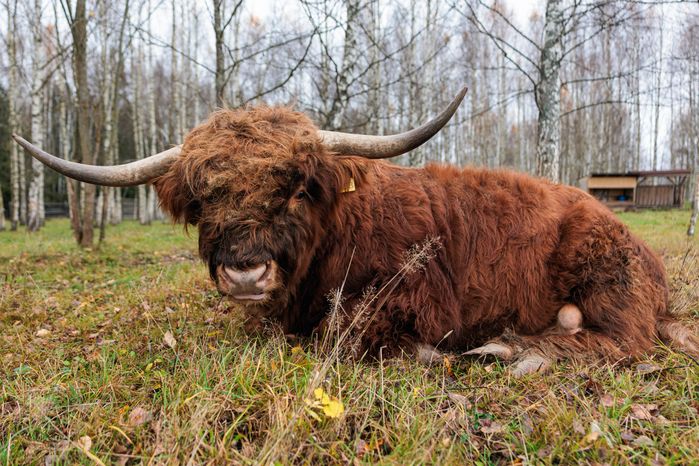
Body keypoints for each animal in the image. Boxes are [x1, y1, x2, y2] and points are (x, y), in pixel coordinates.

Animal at [13, 87, 697, 376]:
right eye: (206, 198)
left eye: (295, 188)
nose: (245, 270)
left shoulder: (415, 297)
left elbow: (339, 340)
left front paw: (425, 353)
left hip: (607, 283)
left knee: (624, 342)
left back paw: (511, 349)